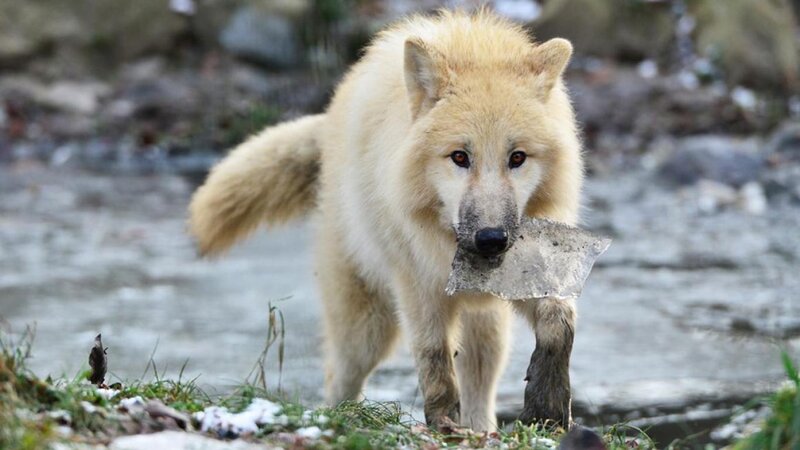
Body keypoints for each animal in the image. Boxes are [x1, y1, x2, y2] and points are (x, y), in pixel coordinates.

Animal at [189, 10, 583, 431]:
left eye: (517, 157)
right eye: (460, 157)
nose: (491, 239)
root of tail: (329, 125)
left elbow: (559, 320)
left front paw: (548, 404)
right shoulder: (417, 287)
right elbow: (434, 361)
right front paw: (443, 423)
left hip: (486, 330)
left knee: (481, 381)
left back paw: (482, 429)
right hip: (366, 330)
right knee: (339, 378)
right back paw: (341, 419)